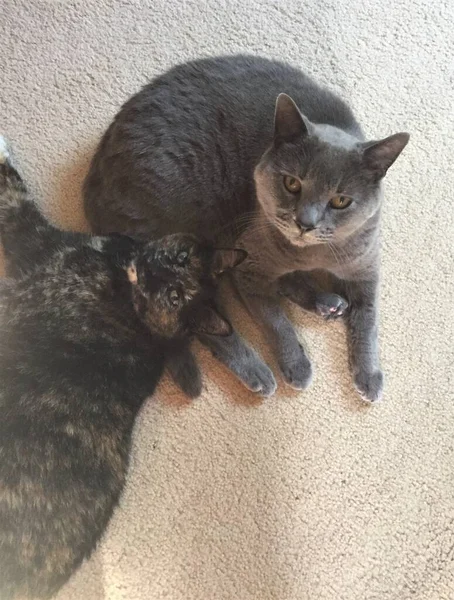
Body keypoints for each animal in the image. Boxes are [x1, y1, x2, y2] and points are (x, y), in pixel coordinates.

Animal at [83, 55, 410, 404]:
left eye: (340, 200)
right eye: (292, 183)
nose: (305, 223)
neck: (311, 256)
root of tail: (94, 177)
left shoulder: (365, 268)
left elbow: (368, 320)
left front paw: (369, 376)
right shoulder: (249, 263)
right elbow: (275, 320)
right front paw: (296, 366)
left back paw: (326, 302)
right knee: (200, 322)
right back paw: (258, 371)